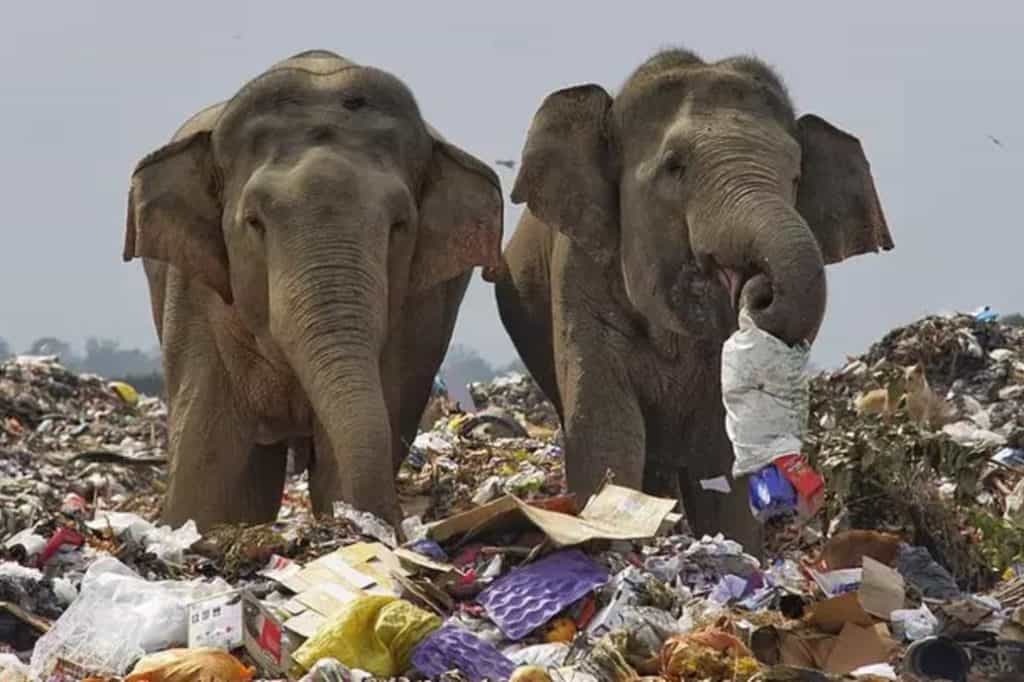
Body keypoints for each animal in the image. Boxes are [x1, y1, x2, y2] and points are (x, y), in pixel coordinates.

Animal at [124, 50, 503, 528]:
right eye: (255, 222)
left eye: (400, 225)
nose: (394, 525)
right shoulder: (195, 295)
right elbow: (214, 476)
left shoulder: (420, 312)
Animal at [491, 47, 892, 548]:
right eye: (674, 166)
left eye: (797, 176)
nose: (757, 287)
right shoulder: (579, 271)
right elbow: (605, 428)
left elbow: (720, 454)